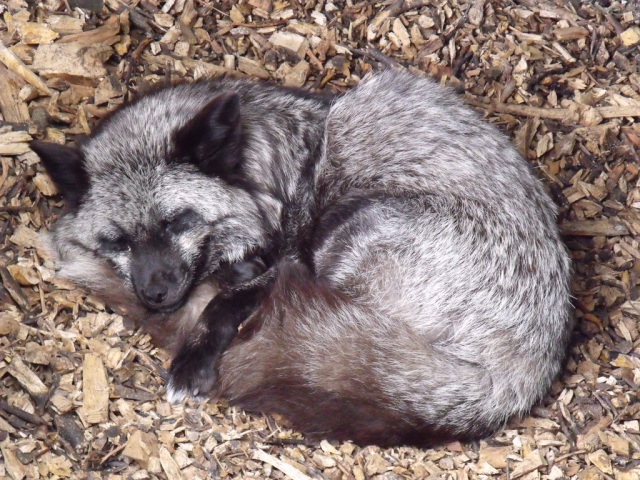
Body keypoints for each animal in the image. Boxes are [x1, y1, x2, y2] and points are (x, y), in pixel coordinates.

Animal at [30, 70, 572, 446]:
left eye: (177, 221)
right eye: (119, 241)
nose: (155, 294)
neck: (280, 170)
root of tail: (522, 373)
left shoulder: (288, 248)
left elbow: (230, 300)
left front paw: (196, 355)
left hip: (354, 222)